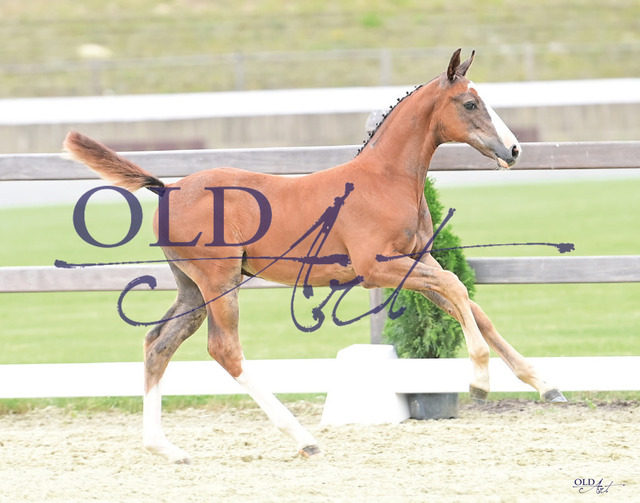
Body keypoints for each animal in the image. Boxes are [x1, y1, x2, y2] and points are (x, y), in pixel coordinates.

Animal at [63, 48, 566, 464]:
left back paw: (165, 448)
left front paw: (546, 385)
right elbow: (459, 288)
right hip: (219, 282)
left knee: (158, 344)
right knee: (224, 350)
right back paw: (303, 438)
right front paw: (479, 379)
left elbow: (472, 307)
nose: (514, 150)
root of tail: (168, 189)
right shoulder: (378, 268)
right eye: (469, 104)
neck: (384, 180)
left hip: (192, 288)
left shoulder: (418, 262)